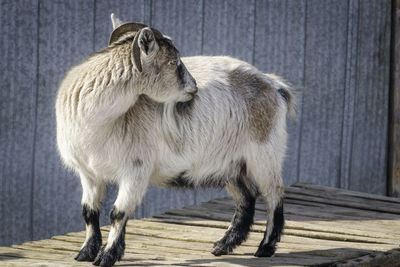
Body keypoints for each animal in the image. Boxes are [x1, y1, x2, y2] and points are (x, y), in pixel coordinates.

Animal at [54, 14, 296, 267]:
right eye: (172, 62)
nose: (194, 88)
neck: (98, 125)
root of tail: (274, 85)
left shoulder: (135, 171)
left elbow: (117, 213)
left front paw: (107, 256)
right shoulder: (89, 174)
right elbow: (89, 212)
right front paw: (85, 252)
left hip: (265, 154)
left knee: (273, 194)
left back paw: (265, 247)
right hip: (231, 164)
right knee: (246, 197)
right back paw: (223, 245)